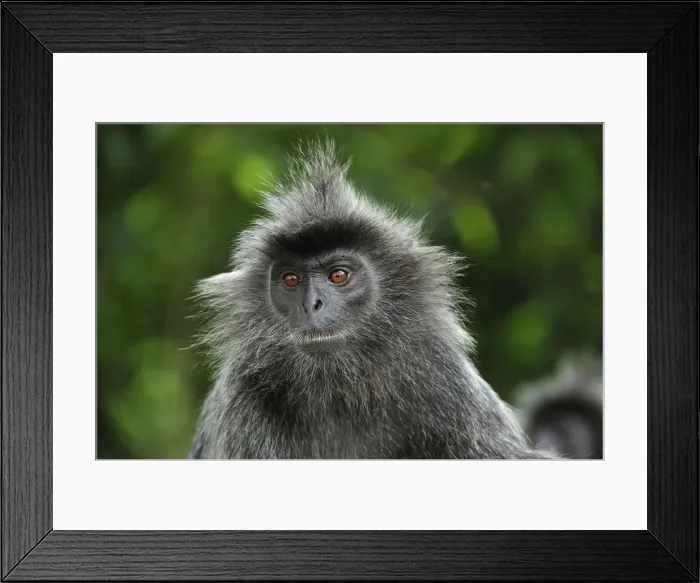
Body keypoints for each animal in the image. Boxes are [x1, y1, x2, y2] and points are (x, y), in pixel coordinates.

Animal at [189, 139, 559, 460]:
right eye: (291, 280)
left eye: (339, 275)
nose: (312, 304)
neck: (339, 389)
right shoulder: (241, 398)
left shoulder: (445, 376)